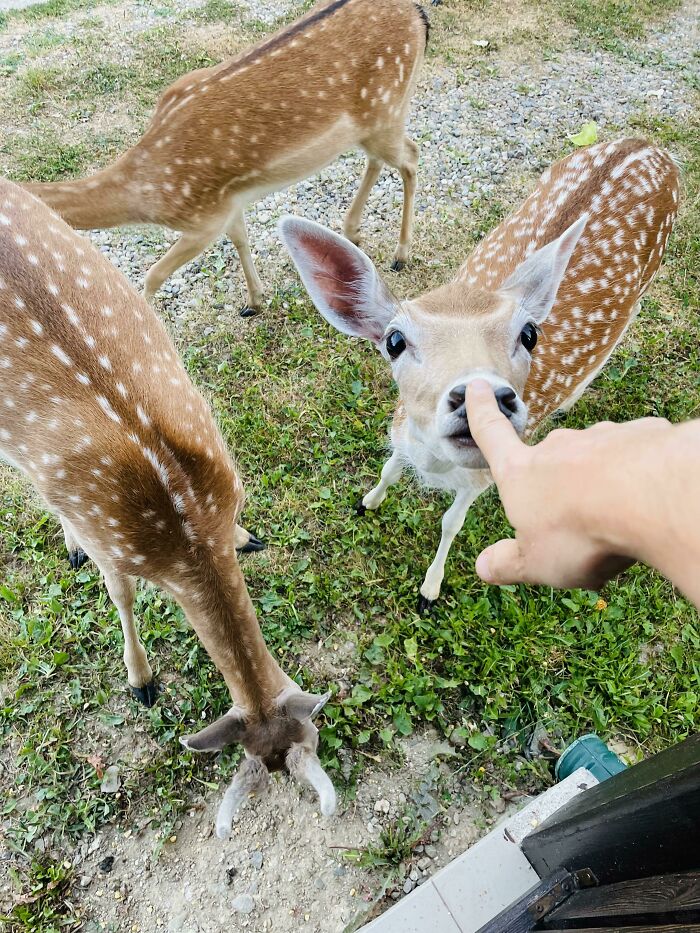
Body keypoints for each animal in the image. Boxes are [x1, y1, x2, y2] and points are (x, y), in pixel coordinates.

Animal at [22, 0, 428, 317]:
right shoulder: (228, 204)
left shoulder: (203, 220)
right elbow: (240, 239)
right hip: (378, 120)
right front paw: (254, 301)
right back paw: (352, 230)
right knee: (382, 159)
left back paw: (401, 253)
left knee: (411, 156)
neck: (143, 190)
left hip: (386, 109)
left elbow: (153, 274)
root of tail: (419, 16)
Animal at [280, 138, 680, 612]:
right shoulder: (402, 431)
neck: (435, 466)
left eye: (529, 334)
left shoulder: (484, 476)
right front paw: (368, 502)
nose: (483, 396)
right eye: (394, 341)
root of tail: (649, 147)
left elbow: (450, 523)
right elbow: (390, 469)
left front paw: (430, 590)